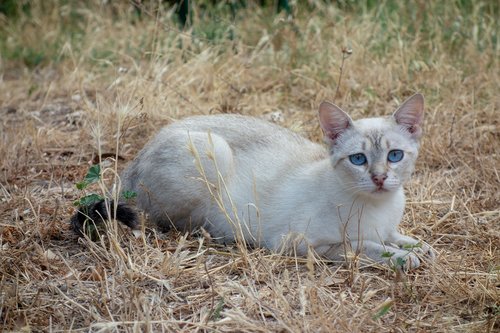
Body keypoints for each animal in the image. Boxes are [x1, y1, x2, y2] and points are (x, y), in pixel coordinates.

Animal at [71, 92, 434, 270]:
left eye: (395, 156)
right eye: (358, 160)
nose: (380, 178)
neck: (380, 207)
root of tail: (135, 160)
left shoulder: (387, 226)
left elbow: (398, 237)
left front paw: (417, 247)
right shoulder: (302, 243)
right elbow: (364, 246)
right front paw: (402, 258)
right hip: (213, 152)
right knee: (164, 222)